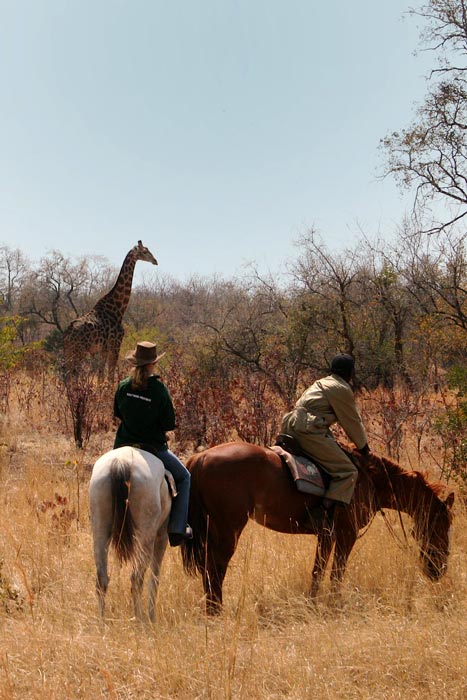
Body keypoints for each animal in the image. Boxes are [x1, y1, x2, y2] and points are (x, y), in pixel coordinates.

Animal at [63, 242, 158, 382]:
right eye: (145, 251)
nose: (155, 261)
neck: (117, 309)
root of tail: (67, 333)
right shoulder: (115, 345)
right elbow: (110, 376)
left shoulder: (103, 349)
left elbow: (101, 376)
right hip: (79, 351)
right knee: (73, 376)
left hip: (69, 351)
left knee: (67, 376)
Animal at [89, 446, 172, 620]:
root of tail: (121, 462)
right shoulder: (162, 536)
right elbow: (155, 578)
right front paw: (152, 615)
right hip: (146, 537)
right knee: (136, 579)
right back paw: (141, 619)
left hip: (100, 529)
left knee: (102, 578)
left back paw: (102, 620)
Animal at [181, 442, 456, 612]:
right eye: (442, 526)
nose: (439, 570)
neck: (370, 479)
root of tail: (200, 458)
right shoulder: (347, 535)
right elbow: (336, 572)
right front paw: (335, 603)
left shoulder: (327, 535)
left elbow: (318, 570)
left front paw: (313, 603)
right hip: (229, 530)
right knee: (215, 568)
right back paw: (216, 611)